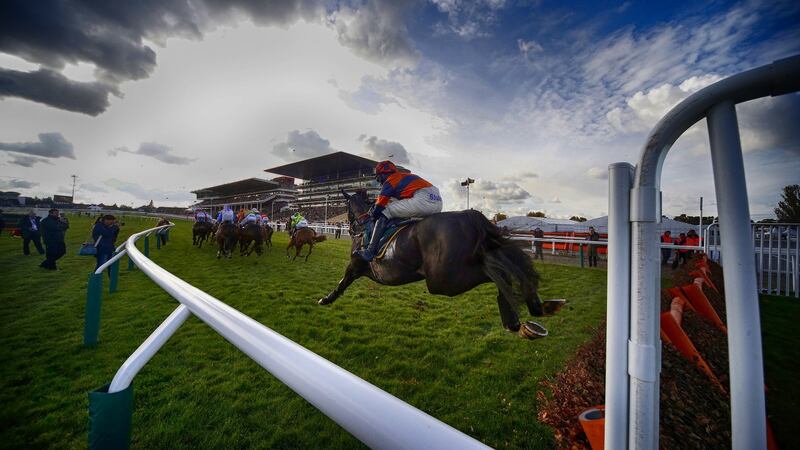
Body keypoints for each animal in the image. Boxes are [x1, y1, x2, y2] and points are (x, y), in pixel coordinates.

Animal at [318, 190, 544, 338]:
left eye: (345, 207)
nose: (348, 226)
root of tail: (471, 215)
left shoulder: (355, 265)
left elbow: (342, 282)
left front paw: (326, 299)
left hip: (443, 281)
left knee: (496, 273)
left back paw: (518, 310)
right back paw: (527, 307)